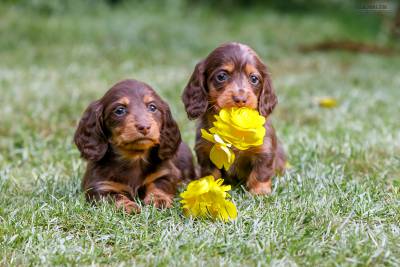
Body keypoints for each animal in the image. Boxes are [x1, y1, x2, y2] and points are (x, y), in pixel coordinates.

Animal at [74, 79, 195, 214]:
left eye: (152, 107)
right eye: (119, 110)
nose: (144, 127)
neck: (135, 157)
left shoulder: (166, 173)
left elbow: (159, 186)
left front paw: (159, 200)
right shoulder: (99, 185)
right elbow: (114, 197)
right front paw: (127, 206)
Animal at [180, 43, 286, 196]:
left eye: (254, 79)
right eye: (221, 76)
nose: (240, 99)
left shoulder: (264, 150)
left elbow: (261, 172)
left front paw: (259, 192)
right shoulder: (206, 152)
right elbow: (211, 173)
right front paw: (211, 189)